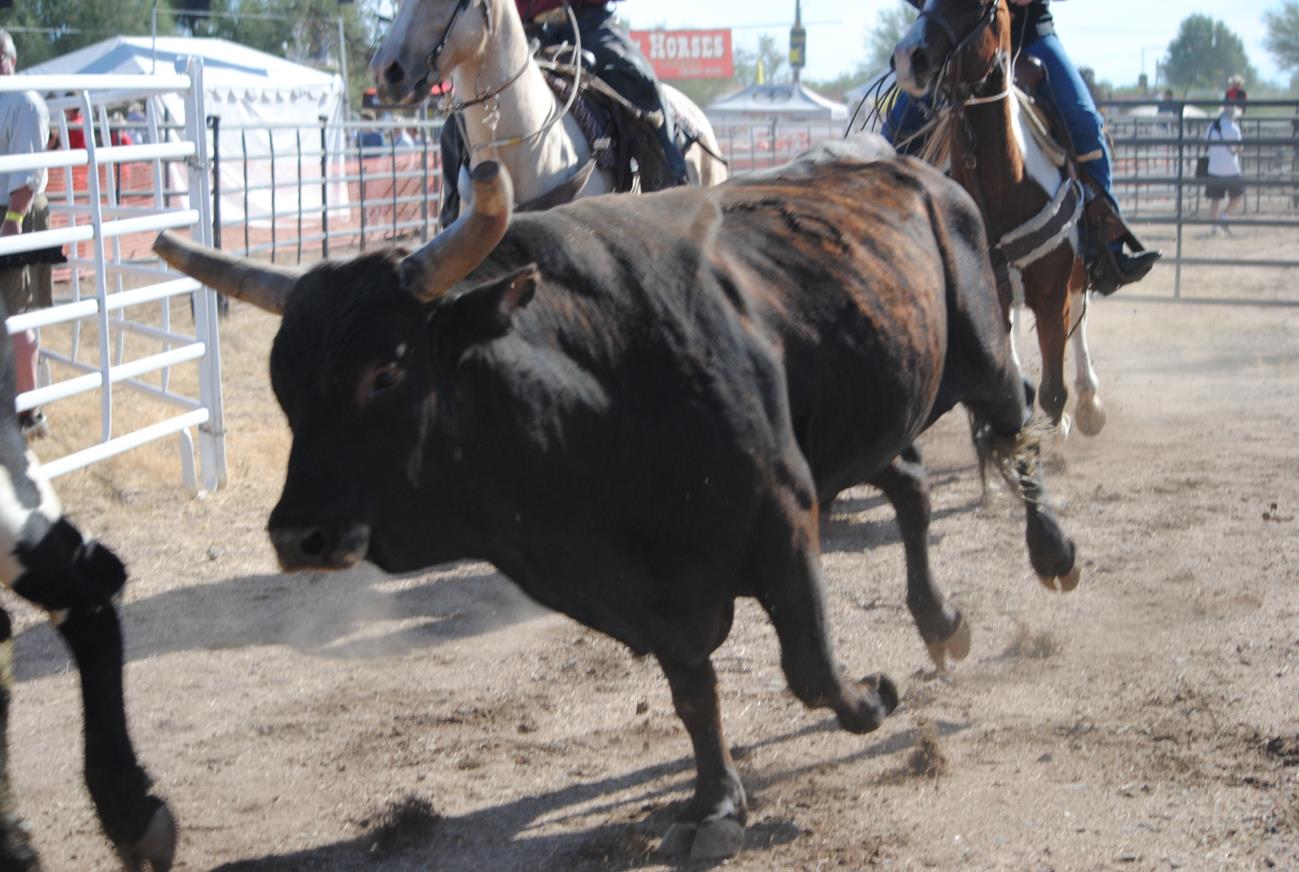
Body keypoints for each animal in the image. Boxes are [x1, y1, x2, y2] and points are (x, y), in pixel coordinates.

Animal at [157, 138, 1080, 857]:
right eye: (284, 387)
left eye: (384, 371)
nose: (297, 535)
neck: (597, 382)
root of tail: (916, 172)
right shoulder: (648, 591)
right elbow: (692, 691)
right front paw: (714, 801)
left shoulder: (782, 518)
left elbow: (811, 668)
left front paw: (869, 699)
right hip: (865, 424)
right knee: (914, 489)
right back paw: (939, 619)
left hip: (982, 354)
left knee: (1020, 437)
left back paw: (1053, 554)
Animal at [898, 0, 1101, 434]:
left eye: (974, 6)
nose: (908, 58)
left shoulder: (1053, 295)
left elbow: (1053, 391)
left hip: (1076, 270)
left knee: (1080, 309)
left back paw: (1090, 402)